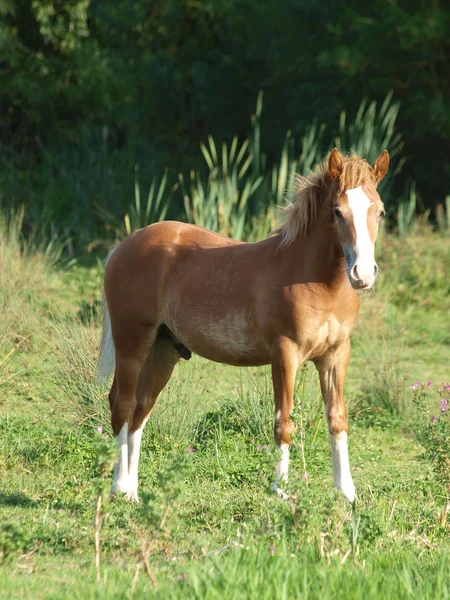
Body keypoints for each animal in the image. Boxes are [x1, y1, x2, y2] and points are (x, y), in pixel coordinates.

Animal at [96, 149, 388, 502]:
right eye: (337, 211)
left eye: (380, 212)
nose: (363, 274)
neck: (317, 282)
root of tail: (123, 246)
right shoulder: (285, 355)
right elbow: (284, 422)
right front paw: (280, 490)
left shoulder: (336, 356)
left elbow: (337, 419)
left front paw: (346, 493)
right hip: (132, 343)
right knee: (122, 405)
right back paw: (118, 489)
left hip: (163, 350)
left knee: (140, 411)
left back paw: (132, 492)